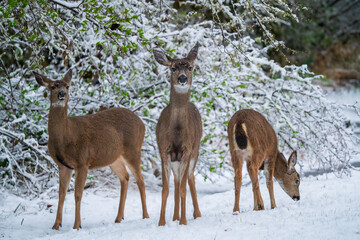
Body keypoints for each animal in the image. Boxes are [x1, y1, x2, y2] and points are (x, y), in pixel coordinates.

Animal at [32, 69, 148, 229]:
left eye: (67, 86)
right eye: (53, 86)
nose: (62, 94)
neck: (65, 137)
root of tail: (142, 124)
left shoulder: (82, 161)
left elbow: (77, 194)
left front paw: (77, 226)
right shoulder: (63, 165)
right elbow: (61, 194)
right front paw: (56, 225)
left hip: (133, 149)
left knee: (140, 180)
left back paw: (145, 216)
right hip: (113, 157)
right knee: (125, 177)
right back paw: (119, 218)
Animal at [153, 42, 202, 225]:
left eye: (190, 67)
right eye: (173, 68)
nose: (182, 78)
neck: (176, 134)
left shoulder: (187, 150)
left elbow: (182, 189)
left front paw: (183, 222)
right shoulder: (163, 151)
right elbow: (166, 189)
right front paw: (161, 223)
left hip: (195, 150)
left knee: (189, 179)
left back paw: (196, 214)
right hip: (175, 160)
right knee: (177, 180)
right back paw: (174, 216)